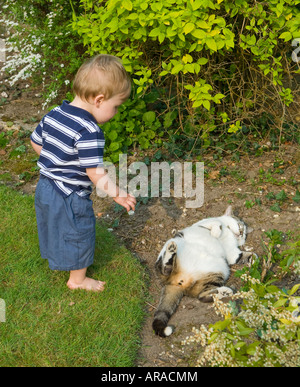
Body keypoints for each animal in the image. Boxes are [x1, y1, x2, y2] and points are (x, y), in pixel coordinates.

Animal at [152, 208, 253, 338]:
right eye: (240, 225)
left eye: (244, 234)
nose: (241, 233)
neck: (229, 233)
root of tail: (176, 283)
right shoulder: (204, 223)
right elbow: (216, 223)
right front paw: (216, 232)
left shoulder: (232, 255)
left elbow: (241, 256)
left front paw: (253, 259)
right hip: (174, 242)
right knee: (164, 268)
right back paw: (170, 251)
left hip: (219, 271)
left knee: (202, 296)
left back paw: (225, 291)